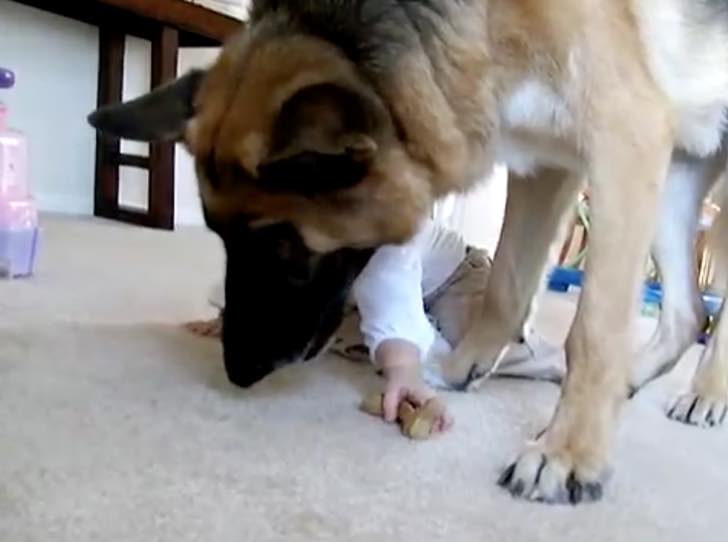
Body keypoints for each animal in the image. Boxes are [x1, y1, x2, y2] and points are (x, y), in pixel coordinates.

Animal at [89, 1, 728, 506]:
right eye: (222, 239)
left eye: (283, 246)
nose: (238, 374)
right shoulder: (546, 161)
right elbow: (507, 284)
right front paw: (457, 369)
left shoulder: (624, 140)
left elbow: (593, 328)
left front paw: (569, 453)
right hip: (680, 173)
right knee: (688, 312)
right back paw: (632, 382)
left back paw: (704, 396)